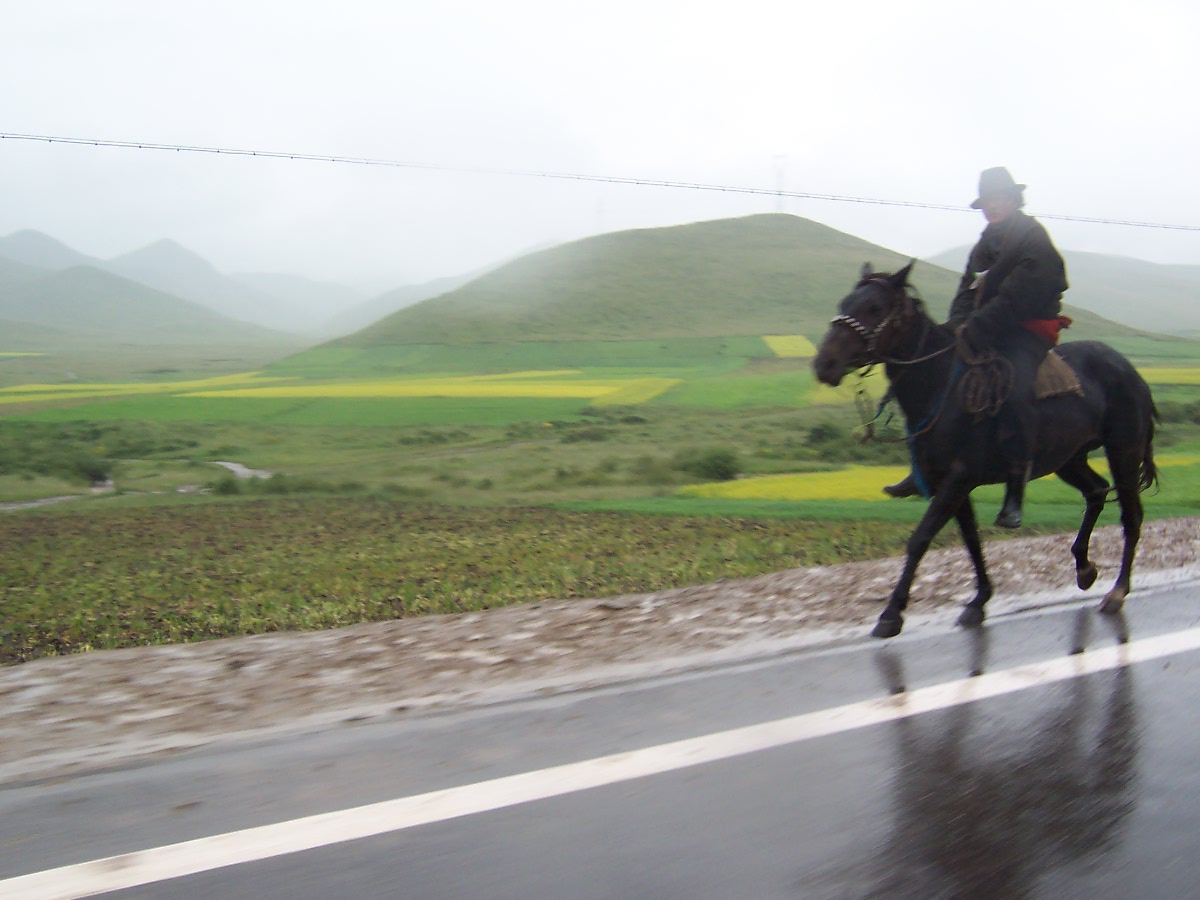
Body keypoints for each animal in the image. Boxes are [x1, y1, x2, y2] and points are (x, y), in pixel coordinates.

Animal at [811, 260, 1156, 643]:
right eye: (845, 302)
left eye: (874, 308)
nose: (825, 364)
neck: (942, 387)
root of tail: (1128, 368)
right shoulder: (952, 483)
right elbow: (971, 539)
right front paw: (979, 600)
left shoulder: (959, 478)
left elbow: (920, 538)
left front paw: (891, 614)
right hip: (1068, 458)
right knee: (1096, 491)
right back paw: (1083, 568)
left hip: (1123, 450)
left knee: (1131, 516)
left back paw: (1117, 591)